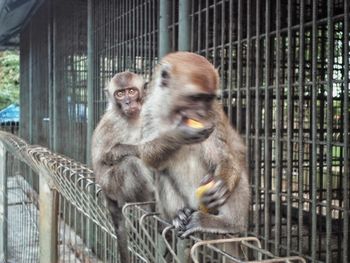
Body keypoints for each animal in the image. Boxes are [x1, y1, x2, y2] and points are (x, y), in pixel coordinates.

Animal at [91, 71, 154, 262]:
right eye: (120, 94)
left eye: (131, 91)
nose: (127, 102)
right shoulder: (114, 122)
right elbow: (106, 156)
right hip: (112, 184)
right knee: (130, 163)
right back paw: (149, 201)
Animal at [116, 52, 250, 241]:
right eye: (195, 98)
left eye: (208, 99)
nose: (201, 113)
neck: (174, 113)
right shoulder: (148, 112)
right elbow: (149, 157)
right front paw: (178, 134)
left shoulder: (213, 115)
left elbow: (225, 157)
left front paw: (221, 183)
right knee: (161, 173)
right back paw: (178, 214)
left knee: (237, 172)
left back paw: (227, 223)